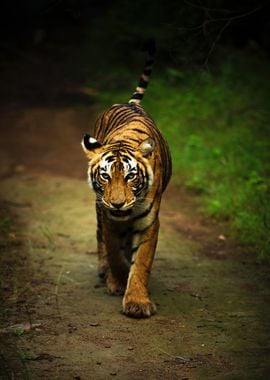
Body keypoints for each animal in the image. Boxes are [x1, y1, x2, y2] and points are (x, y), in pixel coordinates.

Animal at [81, 41, 172, 320]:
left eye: (131, 176)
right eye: (105, 175)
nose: (118, 204)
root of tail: (128, 102)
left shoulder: (149, 222)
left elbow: (141, 262)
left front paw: (137, 302)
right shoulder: (109, 218)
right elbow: (113, 251)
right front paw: (118, 281)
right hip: (98, 208)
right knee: (100, 236)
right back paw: (105, 271)